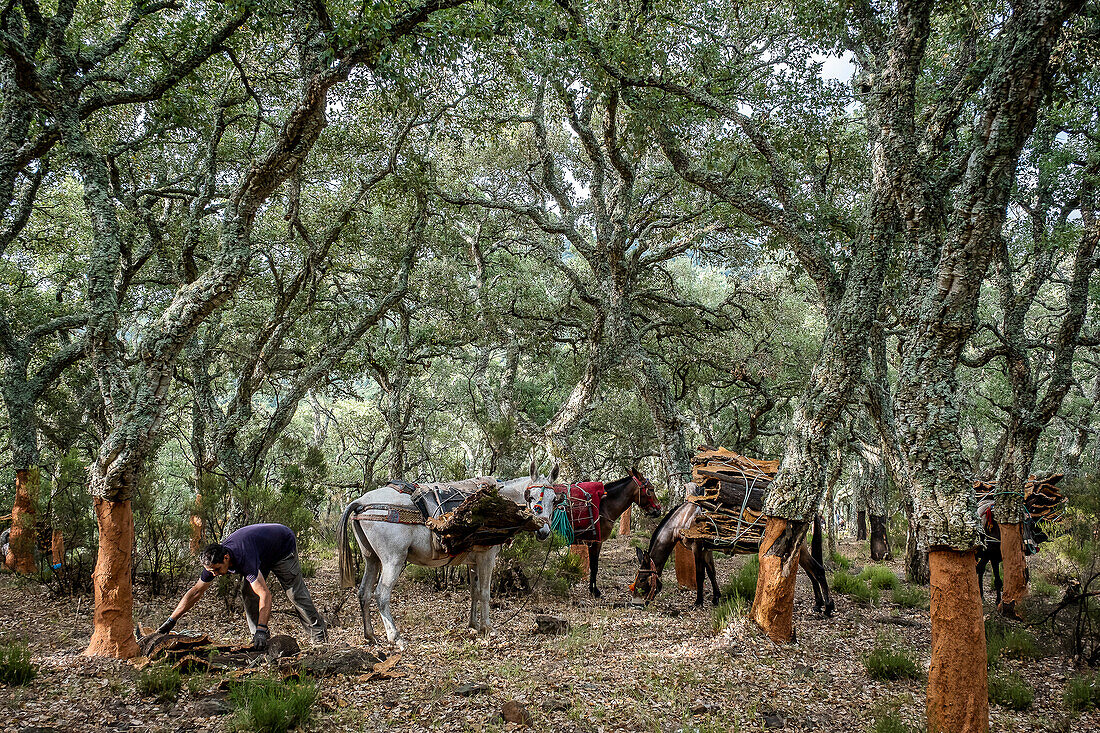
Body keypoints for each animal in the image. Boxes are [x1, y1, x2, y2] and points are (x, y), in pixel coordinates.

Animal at [332, 460, 558, 647]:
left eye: (555, 500)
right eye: (531, 497)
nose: (544, 531)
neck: (501, 504)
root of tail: (362, 502)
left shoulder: (473, 561)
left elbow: (474, 592)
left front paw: (473, 625)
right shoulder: (486, 557)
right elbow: (485, 593)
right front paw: (488, 628)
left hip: (371, 559)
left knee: (363, 593)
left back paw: (370, 635)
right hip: (392, 560)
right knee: (381, 594)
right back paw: (395, 637)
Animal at [629, 501, 831, 611]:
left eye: (642, 580)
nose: (636, 604)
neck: (685, 519)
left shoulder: (697, 548)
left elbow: (700, 575)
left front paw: (698, 602)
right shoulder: (707, 549)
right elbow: (711, 573)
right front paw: (716, 598)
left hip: (799, 550)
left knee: (819, 571)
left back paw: (829, 607)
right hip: (797, 551)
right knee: (812, 574)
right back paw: (818, 604)